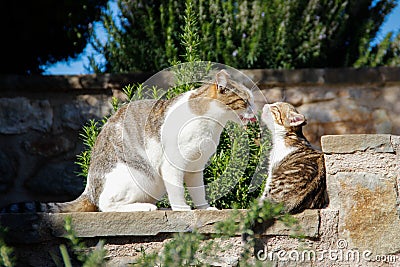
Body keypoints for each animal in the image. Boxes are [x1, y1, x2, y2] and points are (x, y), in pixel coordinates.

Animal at [1, 69, 255, 214]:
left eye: (252, 100)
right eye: (245, 101)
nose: (255, 110)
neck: (211, 124)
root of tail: (89, 189)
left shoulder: (195, 167)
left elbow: (199, 192)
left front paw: (204, 208)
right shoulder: (172, 165)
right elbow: (177, 191)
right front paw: (182, 209)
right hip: (139, 176)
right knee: (105, 206)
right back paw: (147, 207)